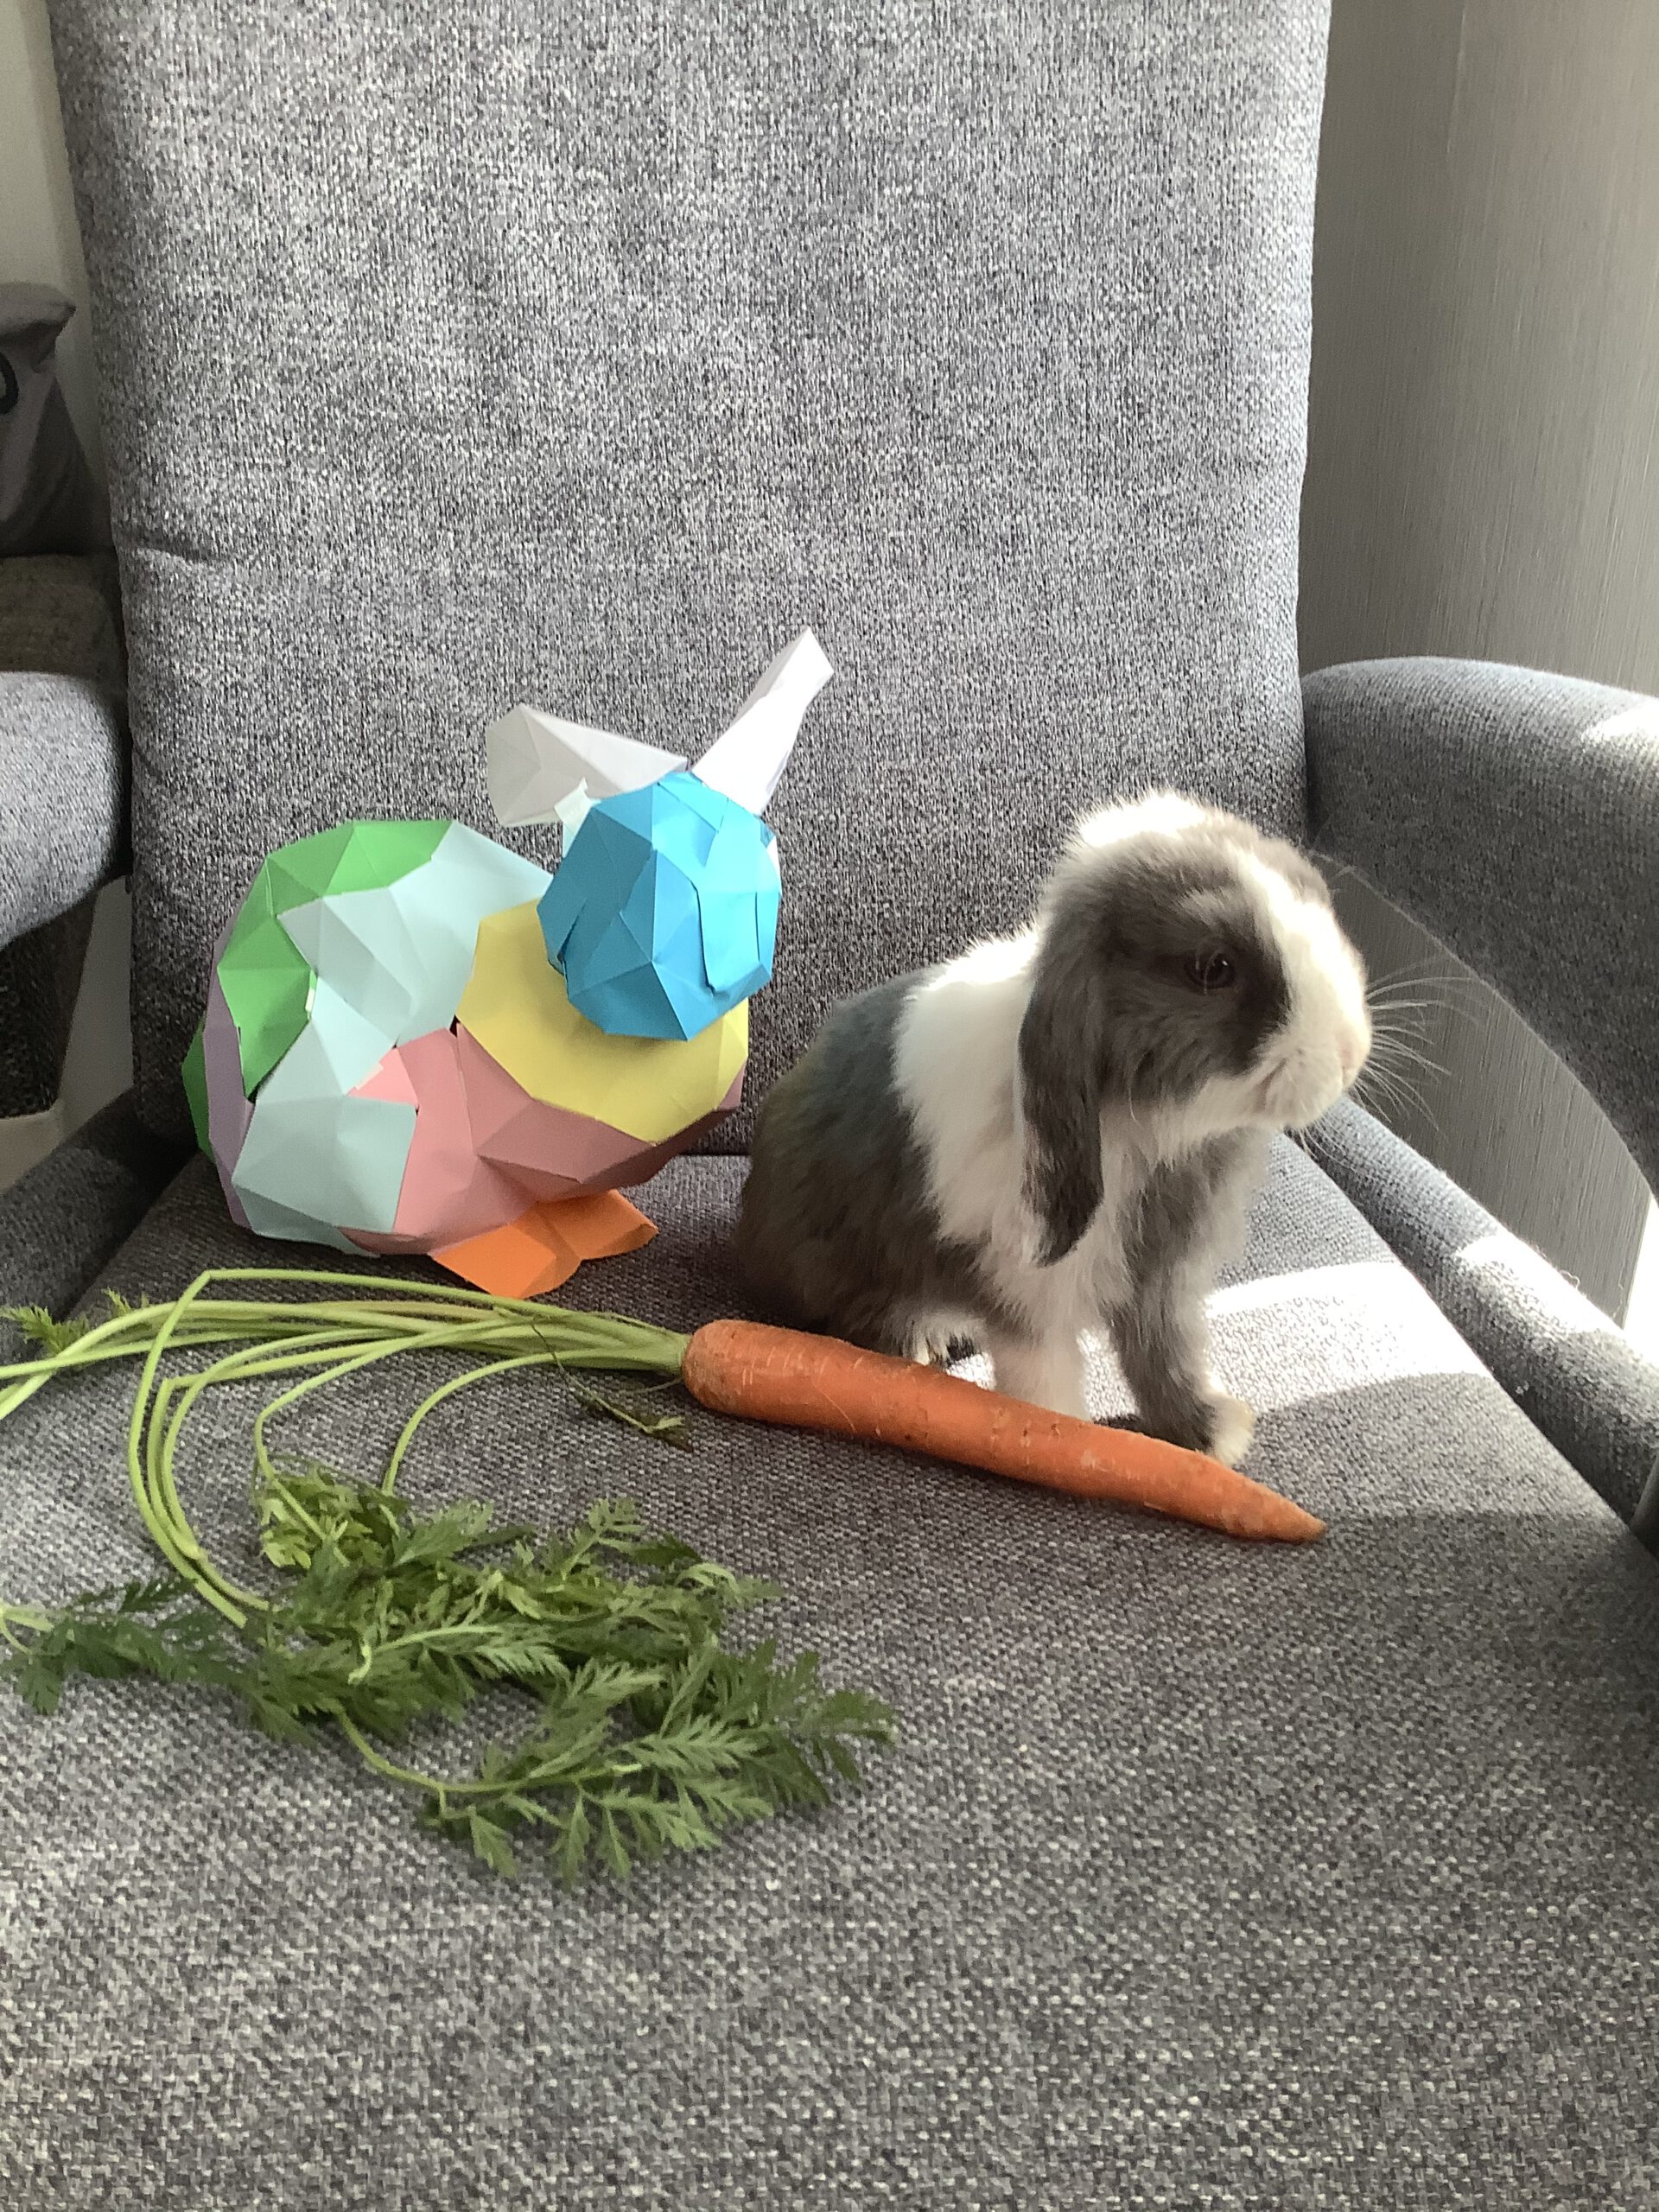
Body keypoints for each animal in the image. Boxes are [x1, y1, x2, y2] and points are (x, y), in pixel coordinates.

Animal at [735, 791, 1372, 1467]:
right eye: (1213, 968)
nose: (1348, 1052)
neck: (1152, 1134)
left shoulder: (1164, 1283)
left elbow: (1166, 1353)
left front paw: (1212, 1433)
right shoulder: (1030, 1294)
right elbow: (1043, 1379)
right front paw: (1057, 1442)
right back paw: (917, 1341)